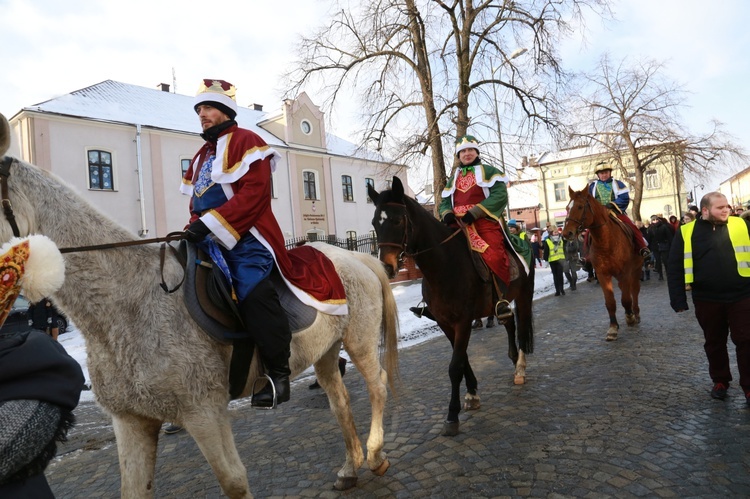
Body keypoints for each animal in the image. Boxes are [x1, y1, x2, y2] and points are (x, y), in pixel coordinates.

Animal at [0, 111, 400, 498]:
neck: (126, 305)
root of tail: (355, 257)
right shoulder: (131, 422)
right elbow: (134, 490)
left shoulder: (204, 412)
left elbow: (234, 482)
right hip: (326, 351)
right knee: (340, 400)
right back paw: (350, 468)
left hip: (359, 342)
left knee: (378, 386)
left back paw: (376, 454)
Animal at [368, 176, 536, 438]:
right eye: (375, 222)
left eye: (397, 220)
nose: (386, 268)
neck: (445, 264)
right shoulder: (445, 323)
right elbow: (462, 359)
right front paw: (472, 393)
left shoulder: (463, 321)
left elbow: (455, 366)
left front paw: (452, 415)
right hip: (500, 303)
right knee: (508, 322)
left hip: (524, 295)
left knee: (521, 327)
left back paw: (519, 367)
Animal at [564, 186, 640, 342]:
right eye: (567, 208)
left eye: (580, 206)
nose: (566, 233)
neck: (606, 242)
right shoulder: (602, 274)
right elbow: (610, 302)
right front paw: (613, 328)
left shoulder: (625, 272)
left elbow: (625, 299)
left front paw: (629, 317)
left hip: (635, 271)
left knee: (635, 291)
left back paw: (635, 313)